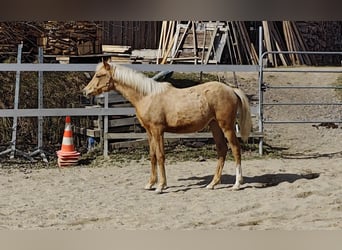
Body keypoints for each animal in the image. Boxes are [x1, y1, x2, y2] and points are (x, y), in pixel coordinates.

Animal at [84, 60, 252, 193]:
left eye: (99, 75)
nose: (85, 91)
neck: (147, 96)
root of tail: (231, 89)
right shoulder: (149, 132)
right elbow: (152, 156)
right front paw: (150, 184)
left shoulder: (158, 130)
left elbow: (160, 156)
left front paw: (160, 186)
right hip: (214, 126)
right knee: (222, 150)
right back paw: (212, 183)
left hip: (227, 127)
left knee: (235, 149)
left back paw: (237, 184)